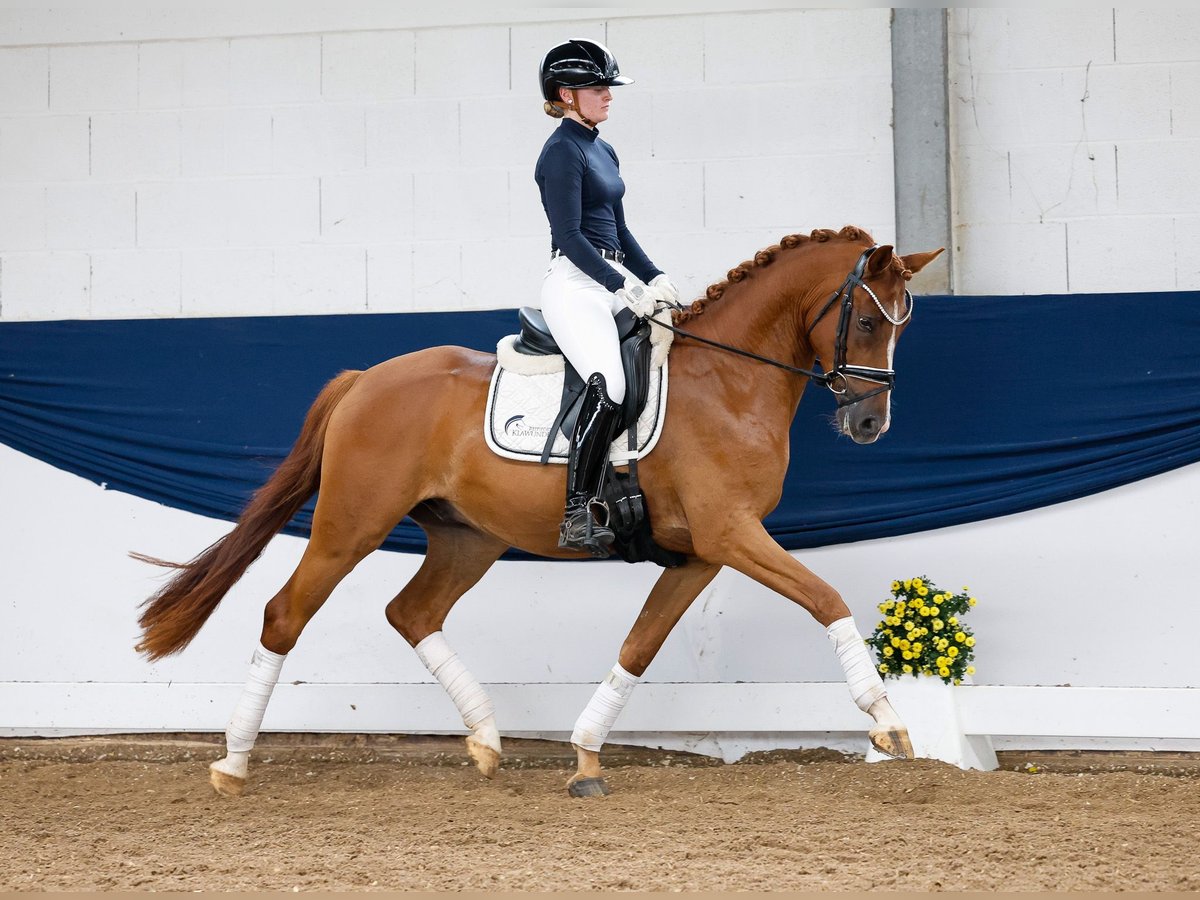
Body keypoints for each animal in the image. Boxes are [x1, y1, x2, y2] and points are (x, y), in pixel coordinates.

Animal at [140, 225, 940, 796]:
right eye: (869, 325)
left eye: (904, 325)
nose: (871, 425)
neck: (728, 379)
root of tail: (365, 378)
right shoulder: (732, 534)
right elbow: (826, 598)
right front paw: (890, 725)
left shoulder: (702, 552)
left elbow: (640, 645)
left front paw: (585, 757)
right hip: (350, 526)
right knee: (285, 614)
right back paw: (233, 764)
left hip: (468, 538)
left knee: (413, 613)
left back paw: (487, 742)